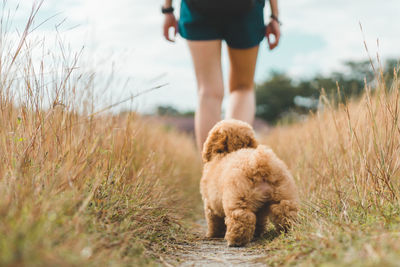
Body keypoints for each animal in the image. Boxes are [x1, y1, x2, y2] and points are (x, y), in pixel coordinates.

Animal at [202, 120, 298, 248]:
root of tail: (261, 163)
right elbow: (260, 220)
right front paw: (257, 233)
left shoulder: (209, 203)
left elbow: (213, 220)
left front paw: (212, 234)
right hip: (283, 194)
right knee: (285, 211)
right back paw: (288, 230)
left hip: (239, 197)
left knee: (241, 217)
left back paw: (235, 240)